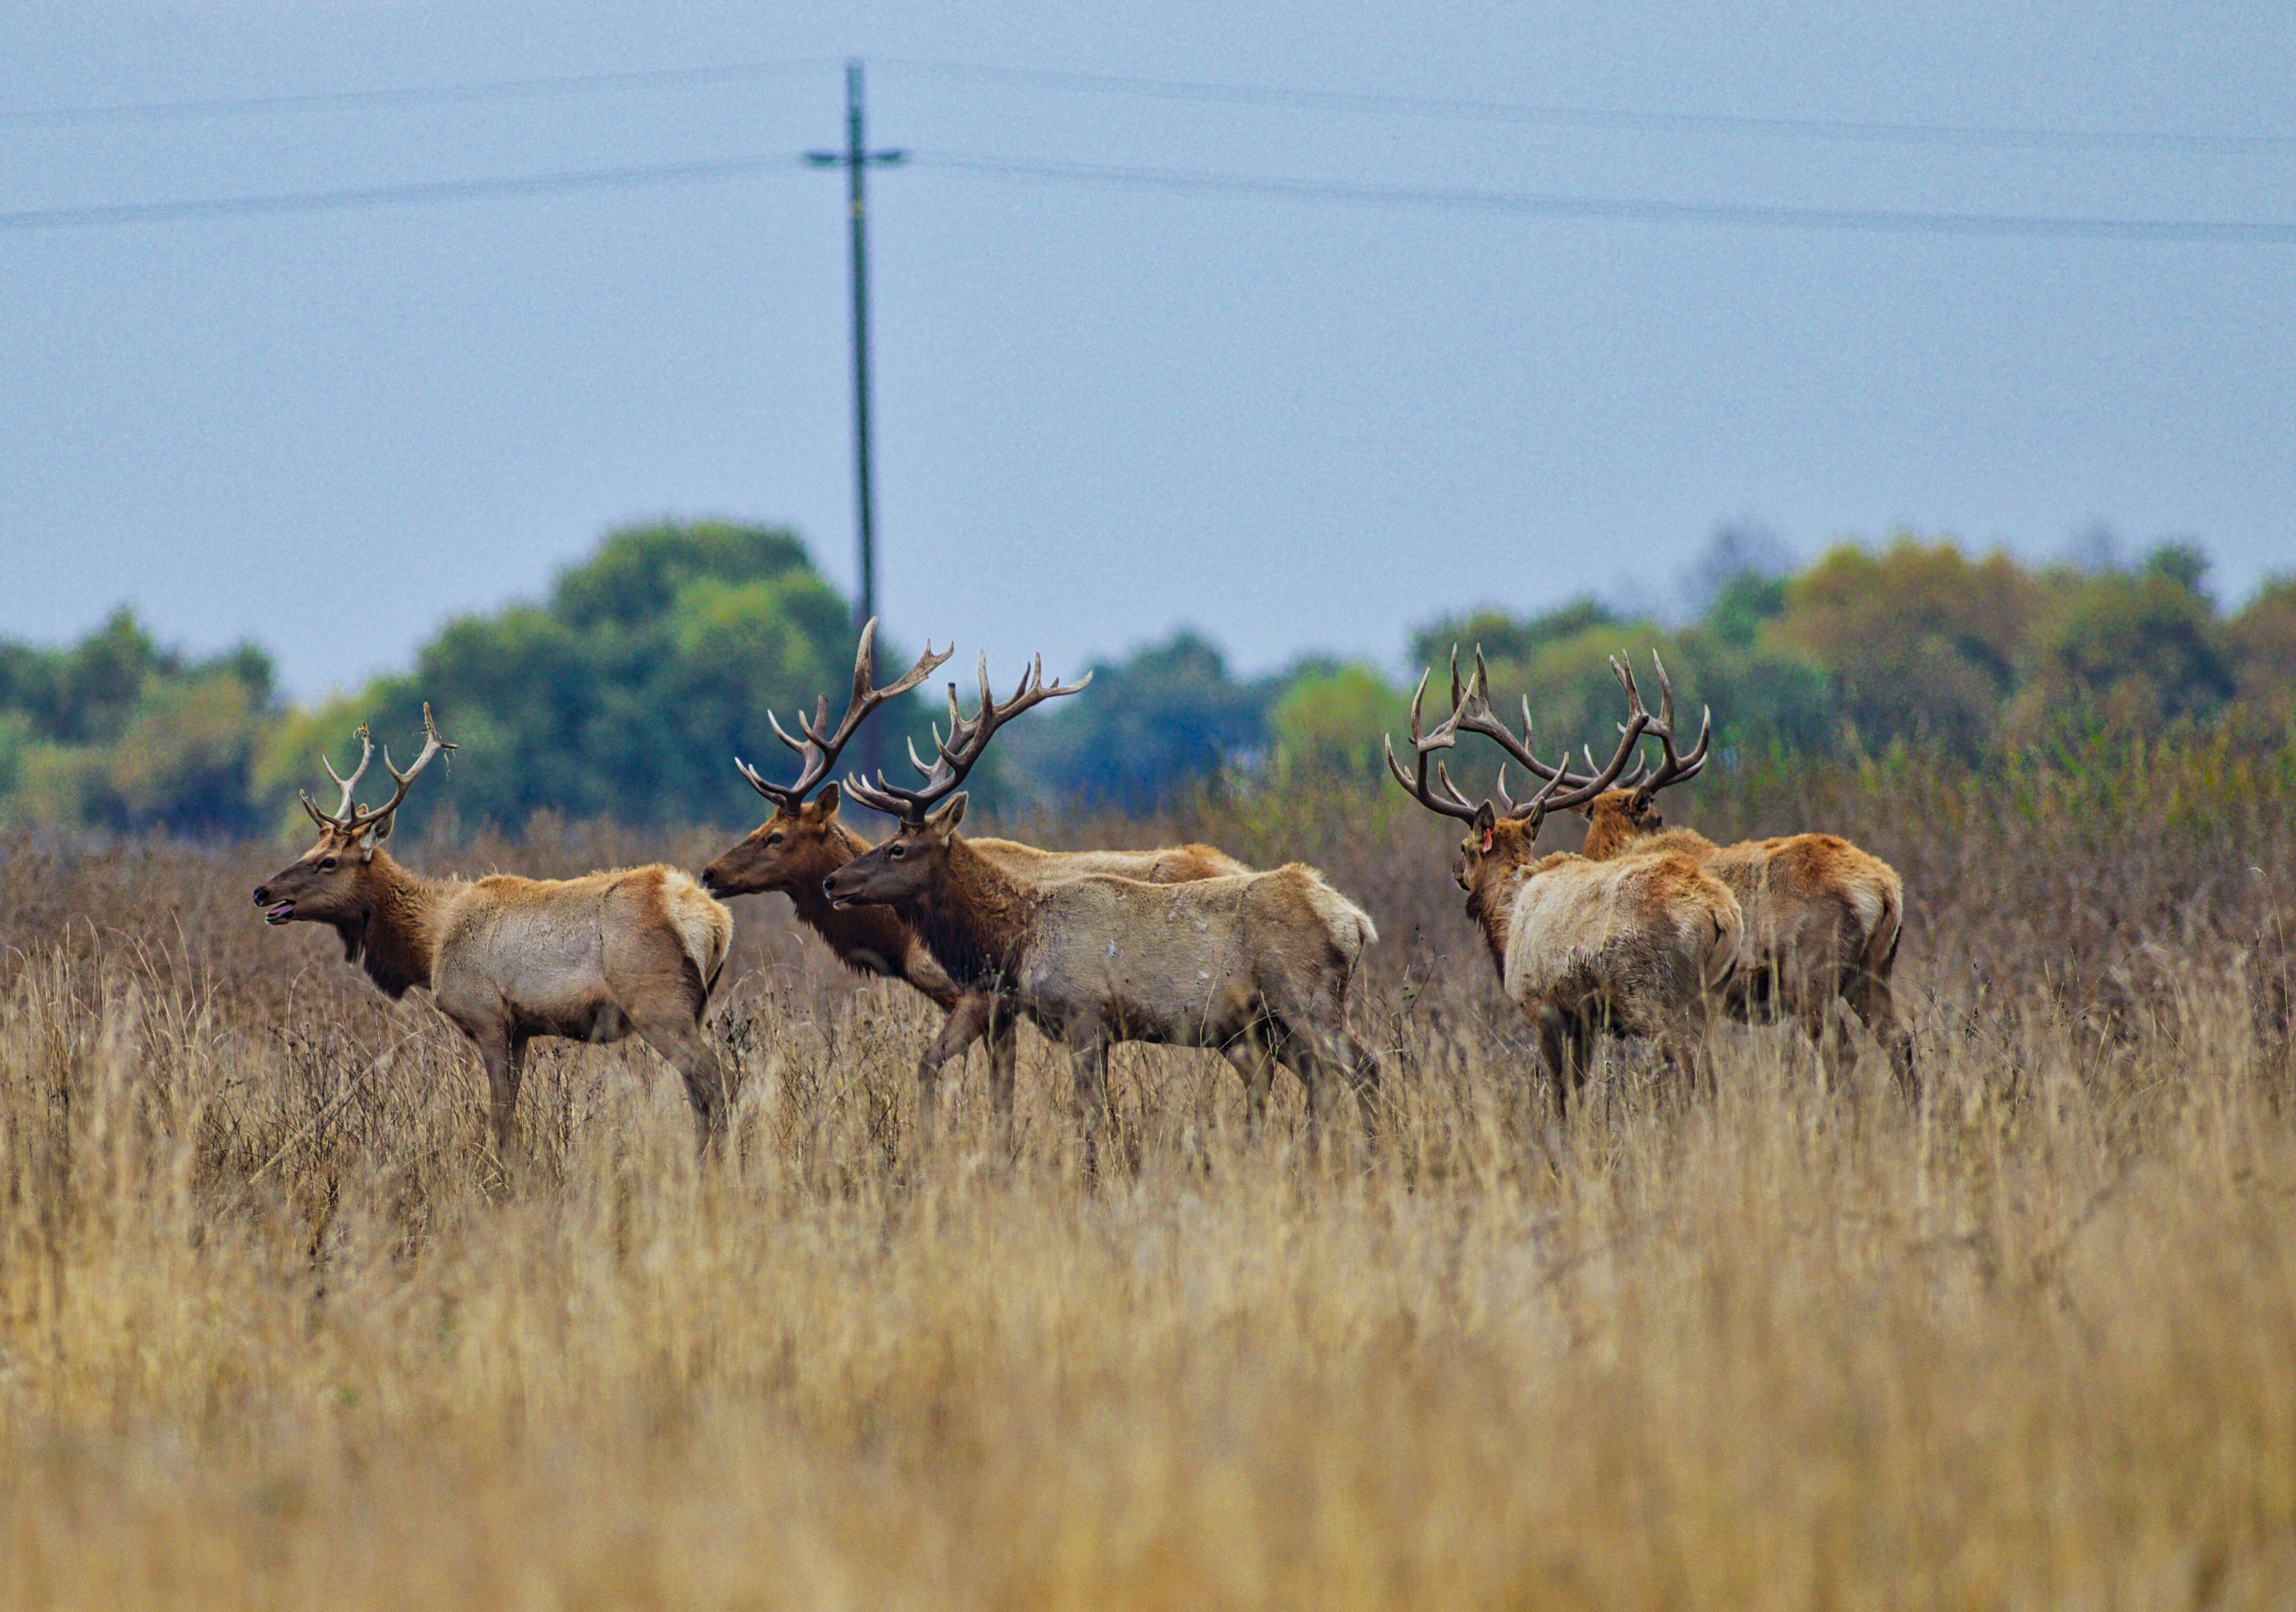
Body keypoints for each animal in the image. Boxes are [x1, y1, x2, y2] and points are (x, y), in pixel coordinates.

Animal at [249, 707, 726, 1148]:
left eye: (328, 861)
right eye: (310, 848)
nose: (262, 892)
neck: (430, 944)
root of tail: (714, 921)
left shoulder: (486, 1014)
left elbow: (499, 1118)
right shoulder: (520, 1028)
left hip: (657, 1003)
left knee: (713, 1078)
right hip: (695, 1006)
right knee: (699, 1090)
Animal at [693, 620, 1249, 1139]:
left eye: (776, 837)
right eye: (760, 827)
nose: (710, 872)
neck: (899, 944)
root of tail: (1237, 866)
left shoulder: (981, 997)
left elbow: (958, 1074)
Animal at [817, 652, 1368, 1162]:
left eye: (897, 848)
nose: (832, 881)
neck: (1020, 941)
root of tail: (1356, 923)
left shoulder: (1084, 1016)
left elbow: (1090, 1117)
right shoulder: (1094, 1031)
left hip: (1306, 997)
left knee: (1361, 1067)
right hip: (1274, 1022)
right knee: (1325, 1079)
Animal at [1377, 652, 1735, 1107]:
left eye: (1464, 846)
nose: (1456, 871)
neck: (1507, 919)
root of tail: (1721, 915)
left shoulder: (1540, 1003)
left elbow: (1561, 1093)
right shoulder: (1582, 1017)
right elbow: (1581, 1091)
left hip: (1657, 997)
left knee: (1695, 1072)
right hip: (1714, 994)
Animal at [1524, 652, 1919, 1093]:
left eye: (1658, 816)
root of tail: (1886, 891)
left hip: (1811, 974)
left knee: (1841, 1053)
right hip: (1873, 969)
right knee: (1899, 1038)